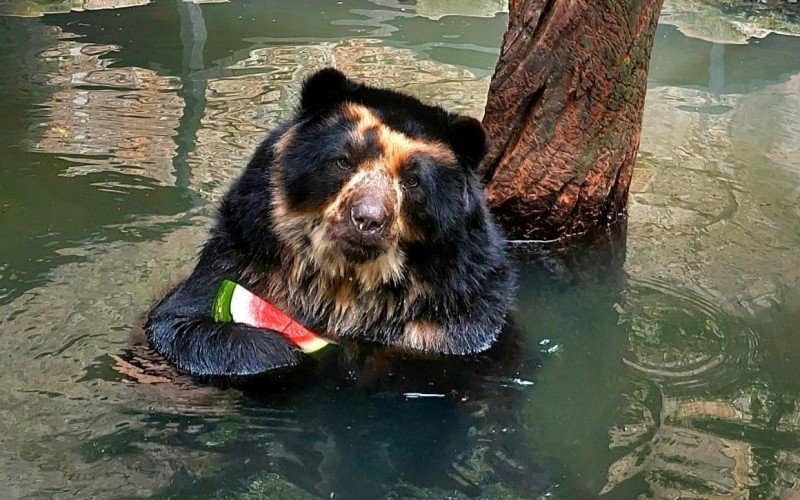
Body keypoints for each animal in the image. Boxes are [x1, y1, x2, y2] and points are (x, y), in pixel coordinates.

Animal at [145, 68, 516, 376]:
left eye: (413, 181)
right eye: (343, 161)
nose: (368, 219)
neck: (347, 279)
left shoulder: (453, 311)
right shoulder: (245, 255)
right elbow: (180, 322)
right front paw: (281, 350)